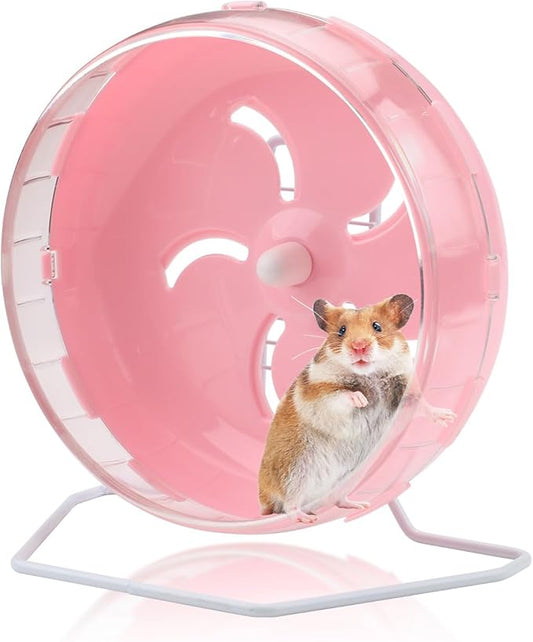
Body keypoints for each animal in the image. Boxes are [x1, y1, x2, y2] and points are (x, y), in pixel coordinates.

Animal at [258, 294, 454, 524]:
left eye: (377, 326)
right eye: (342, 330)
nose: (359, 346)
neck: (370, 374)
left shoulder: (405, 391)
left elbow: (423, 405)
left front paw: (448, 417)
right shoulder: (319, 393)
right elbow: (341, 395)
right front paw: (362, 400)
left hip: (347, 478)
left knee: (336, 500)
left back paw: (359, 504)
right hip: (294, 471)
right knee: (289, 505)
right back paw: (306, 517)